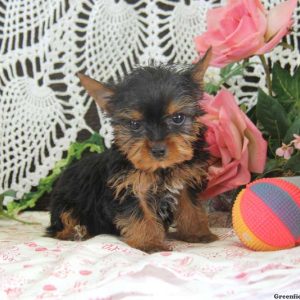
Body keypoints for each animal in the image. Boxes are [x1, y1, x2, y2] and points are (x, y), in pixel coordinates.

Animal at [46, 49, 218, 253]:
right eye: (135, 124)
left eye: (178, 118)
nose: (158, 149)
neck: (161, 169)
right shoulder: (129, 187)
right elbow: (140, 215)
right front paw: (150, 243)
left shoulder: (186, 181)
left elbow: (191, 208)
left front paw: (197, 233)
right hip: (65, 202)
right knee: (61, 223)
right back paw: (76, 231)